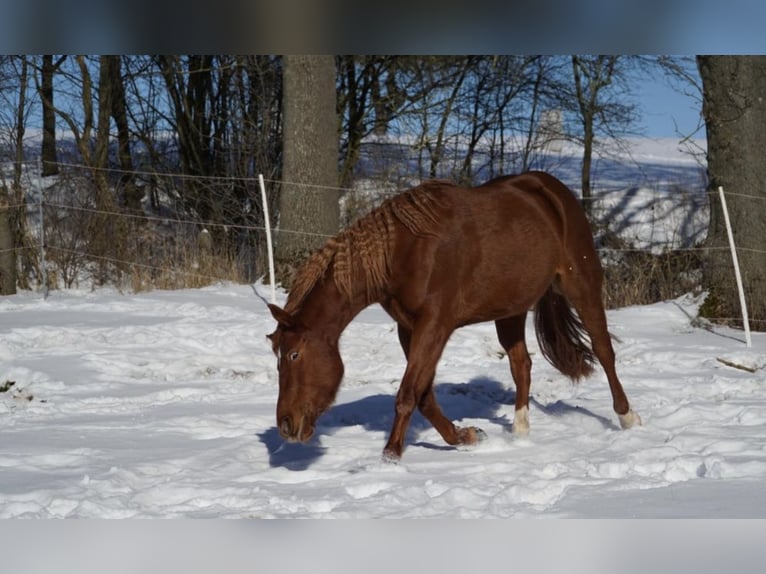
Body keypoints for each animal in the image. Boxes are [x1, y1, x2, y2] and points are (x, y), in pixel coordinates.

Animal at [267, 171, 641, 461]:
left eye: (294, 354)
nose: (285, 425)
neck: (405, 251)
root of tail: (552, 190)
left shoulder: (435, 325)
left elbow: (408, 393)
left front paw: (390, 455)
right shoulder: (409, 328)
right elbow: (424, 396)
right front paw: (466, 437)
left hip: (581, 284)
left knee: (604, 351)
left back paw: (628, 417)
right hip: (511, 310)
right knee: (522, 365)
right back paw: (520, 431)